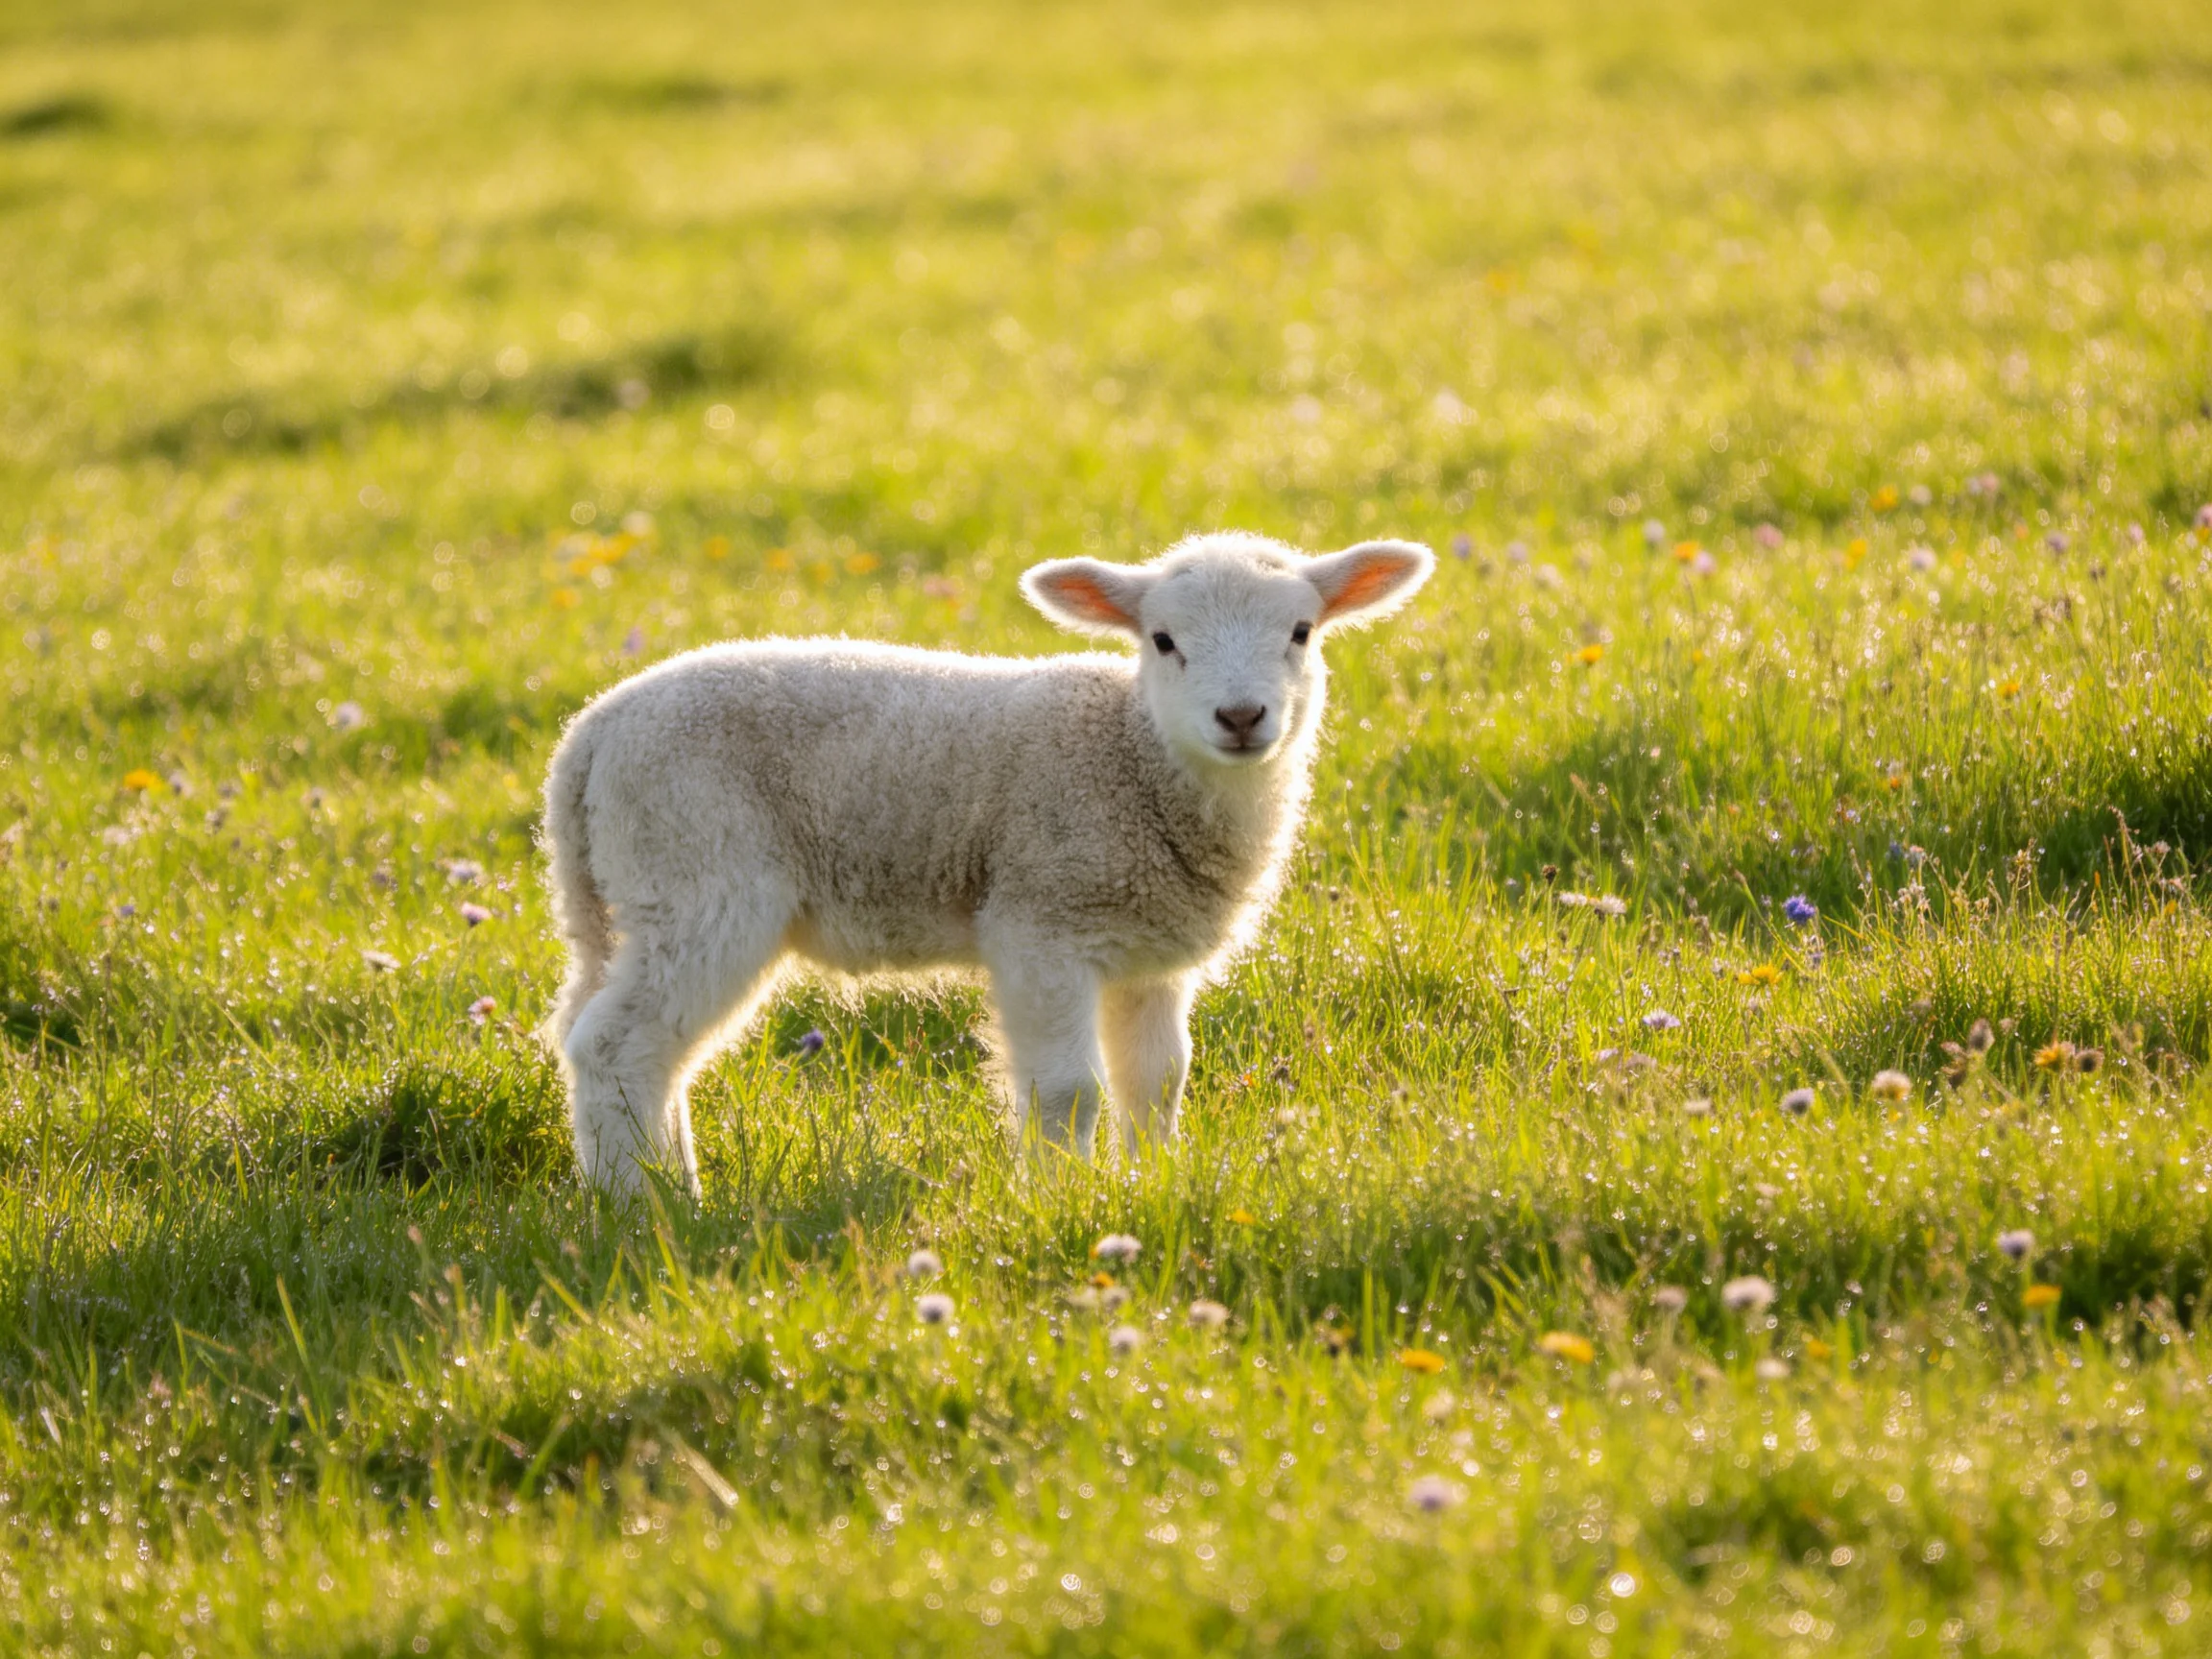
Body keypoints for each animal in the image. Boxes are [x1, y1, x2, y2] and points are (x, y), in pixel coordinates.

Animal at [540, 530, 1434, 1196]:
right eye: (1163, 640)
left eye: (1302, 633)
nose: (1242, 717)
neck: (1132, 754)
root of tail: (590, 735)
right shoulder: (1040, 920)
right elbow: (1069, 1090)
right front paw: (1065, 1199)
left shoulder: (1151, 951)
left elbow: (1158, 1079)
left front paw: (1151, 1183)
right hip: (701, 874)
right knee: (618, 1045)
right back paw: (648, 1207)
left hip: (631, 894)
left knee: (620, 1040)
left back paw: (652, 1182)